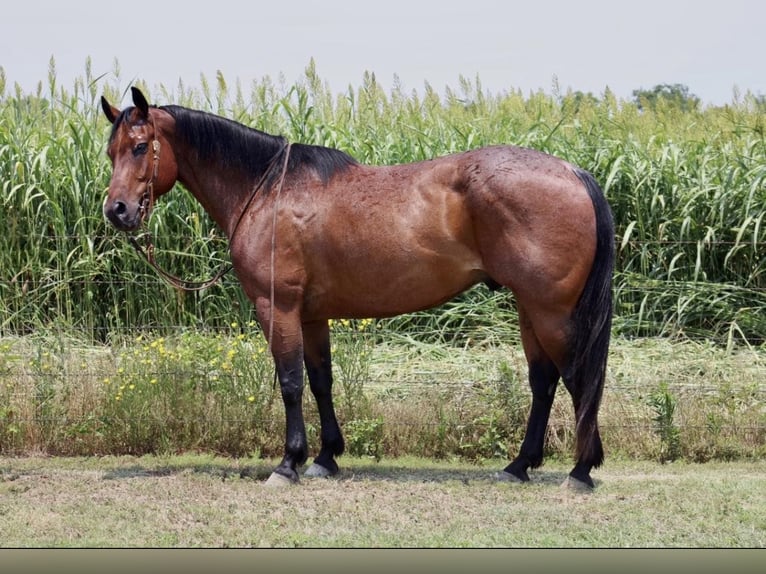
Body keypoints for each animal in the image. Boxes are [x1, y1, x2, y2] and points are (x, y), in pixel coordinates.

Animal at [100, 85, 616, 490]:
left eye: (141, 147)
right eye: (111, 151)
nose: (117, 210)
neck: (267, 190)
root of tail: (572, 172)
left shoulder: (277, 307)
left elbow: (290, 382)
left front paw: (288, 463)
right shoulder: (311, 314)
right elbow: (320, 381)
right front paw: (326, 457)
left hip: (552, 311)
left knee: (578, 379)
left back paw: (579, 471)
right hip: (531, 308)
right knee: (543, 382)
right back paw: (519, 466)